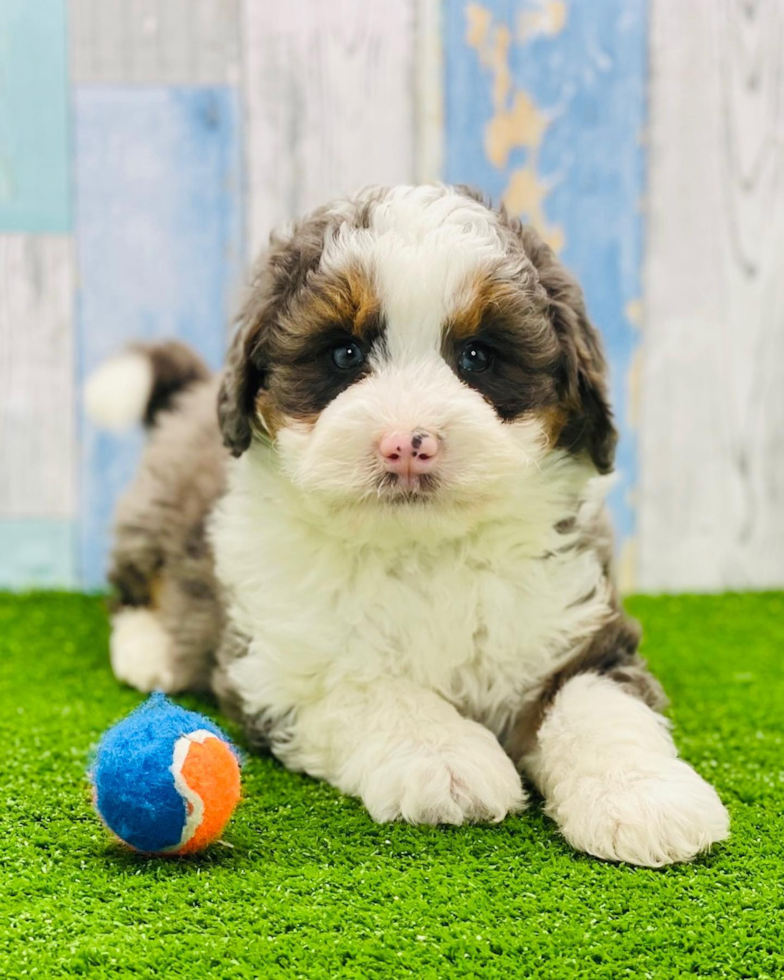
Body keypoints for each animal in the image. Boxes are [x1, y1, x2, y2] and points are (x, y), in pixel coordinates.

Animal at [89, 182, 732, 864]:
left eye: (478, 356)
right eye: (345, 353)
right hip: (155, 511)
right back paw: (151, 649)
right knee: (134, 583)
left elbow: (599, 706)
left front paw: (641, 794)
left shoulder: (576, 628)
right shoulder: (282, 664)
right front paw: (444, 759)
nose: (407, 444)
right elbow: (374, 689)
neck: (422, 546)